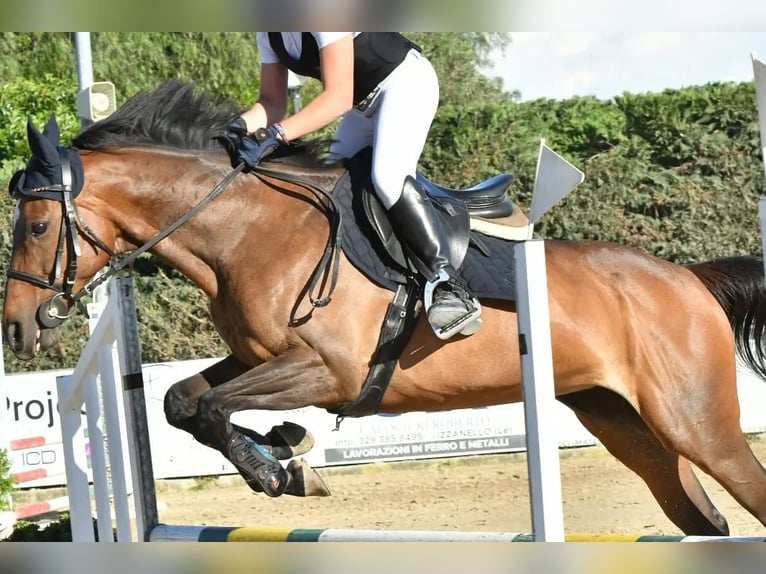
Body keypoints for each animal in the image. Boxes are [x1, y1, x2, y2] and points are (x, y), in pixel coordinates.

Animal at [4, 79, 766, 536]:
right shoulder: (259, 357)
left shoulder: (329, 370)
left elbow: (213, 407)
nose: (17, 327)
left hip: (696, 422)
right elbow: (184, 401)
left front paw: (281, 466)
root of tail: (686, 279)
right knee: (704, 520)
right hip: (624, 420)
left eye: (36, 226)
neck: (247, 230)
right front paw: (287, 450)